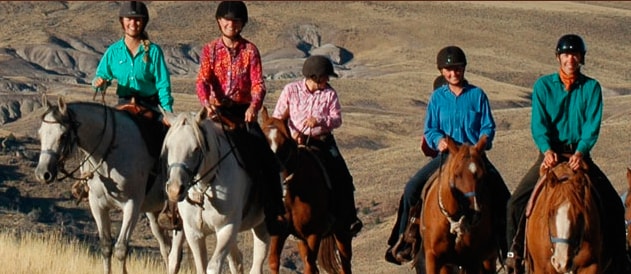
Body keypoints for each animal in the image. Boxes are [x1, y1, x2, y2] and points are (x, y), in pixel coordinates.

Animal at [33, 97, 184, 274]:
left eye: (63, 135)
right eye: (40, 133)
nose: (42, 173)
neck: (109, 153)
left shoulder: (132, 205)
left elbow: (121, 248)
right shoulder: (97, 205)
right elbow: (106, 247)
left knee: (175, 255)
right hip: (154, 213)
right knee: (165, 248)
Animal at [160, 108, 270, 272]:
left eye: (196, 148)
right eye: (168, 147)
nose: (174, 190)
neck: (205, 189)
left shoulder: (227, 229)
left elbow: (213, 267)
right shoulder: (194, 232)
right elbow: (201, 267)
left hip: (262, 226)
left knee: (256, 264)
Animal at [260, 107, 354, 274]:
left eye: (285, 144)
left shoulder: (313, 234)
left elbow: (309, 266)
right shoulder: (280, 232)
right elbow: (274, 262)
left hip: (342, 231)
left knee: (345, 263)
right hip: (301, 239)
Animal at [418, 135, 502, 274]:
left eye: (483, 175)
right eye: (457, 174)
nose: (474, 213)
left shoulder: (471, 260)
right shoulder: (434, 258)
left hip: (489, 258)